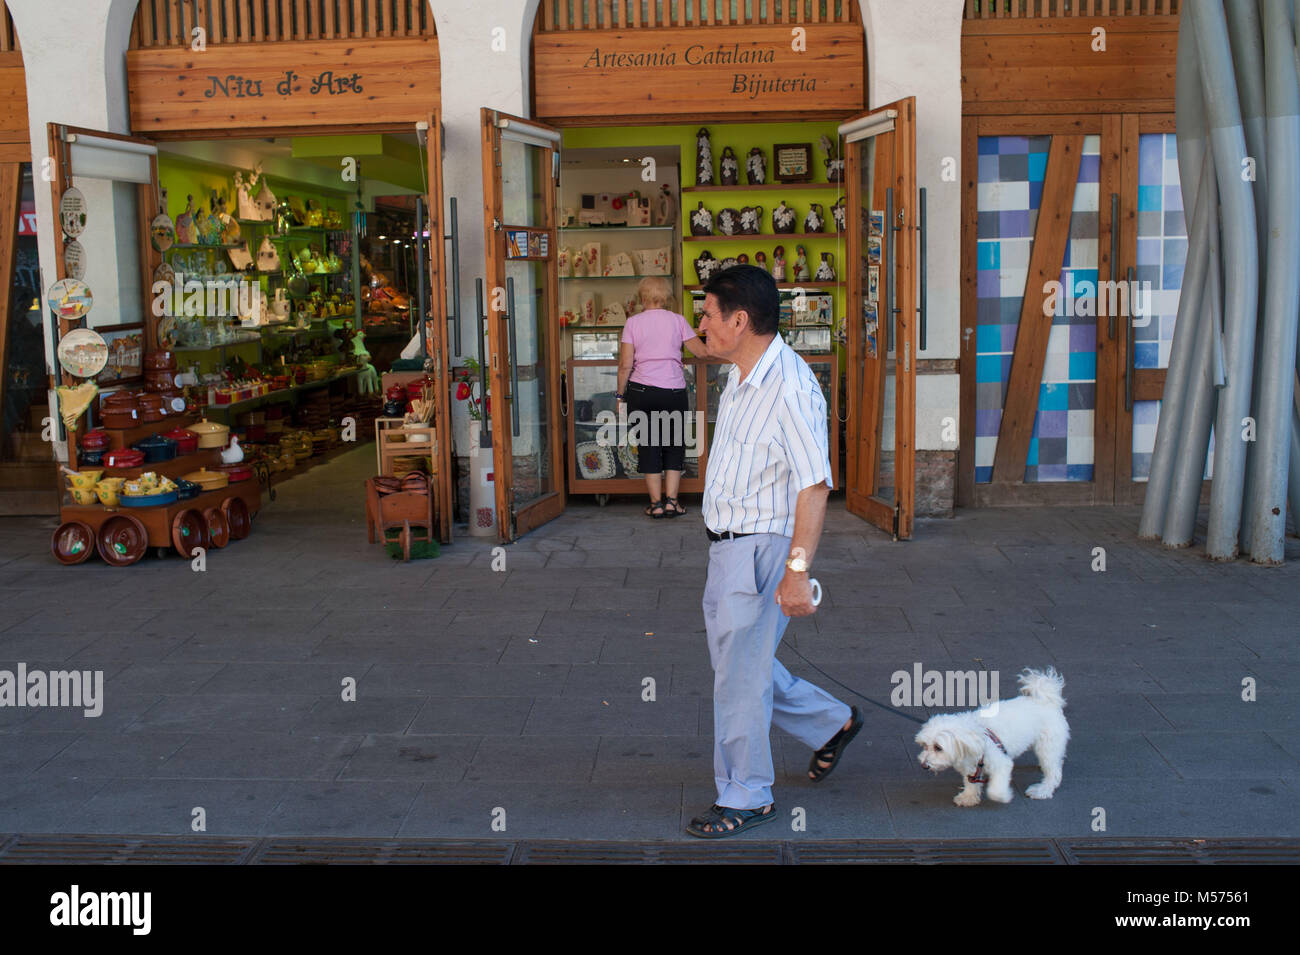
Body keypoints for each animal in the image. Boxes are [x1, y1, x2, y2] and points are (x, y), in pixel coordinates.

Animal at [915, 670, 1066, 810]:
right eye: (925, 745)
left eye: (938, 747)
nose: (924, 765)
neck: (977, 738)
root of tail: (1046, 700)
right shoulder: (971, 766)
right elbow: (970, 781)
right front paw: (968, 797)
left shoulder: (1001, 763)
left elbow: (995, 789)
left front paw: (1003, 795)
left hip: (1048, 747)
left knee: (1054, 772)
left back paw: (1042, 790)